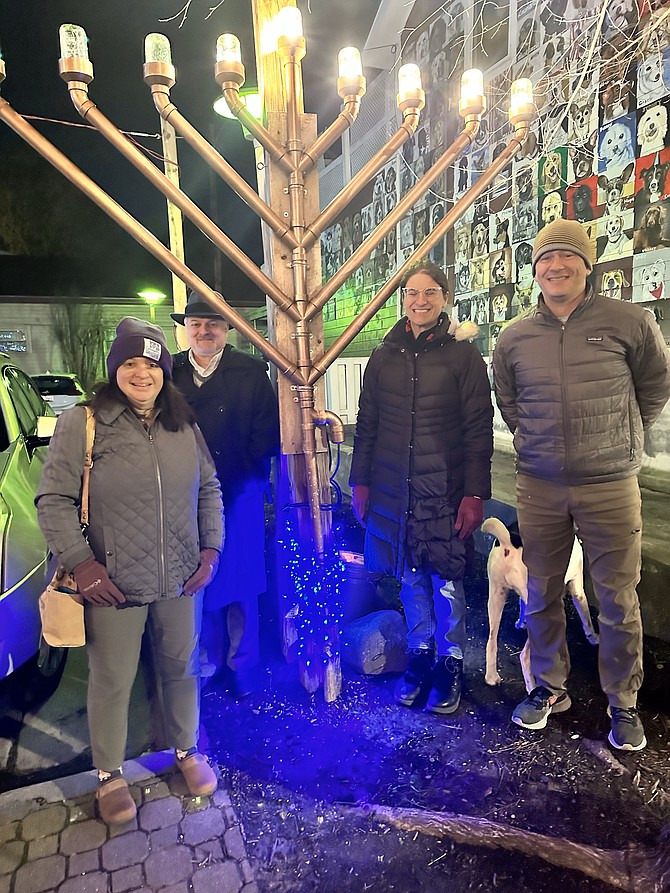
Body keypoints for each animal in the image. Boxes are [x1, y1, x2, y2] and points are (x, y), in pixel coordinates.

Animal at [484, 516, 600, 688]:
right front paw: (594, 638)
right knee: (524, 657)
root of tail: (510, 542)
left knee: (491, 642)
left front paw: (521, 623)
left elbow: (522, 605)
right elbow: (586, 618)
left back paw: (491, 677)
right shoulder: (577, 588)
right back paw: (533, 687)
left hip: (496, 596)